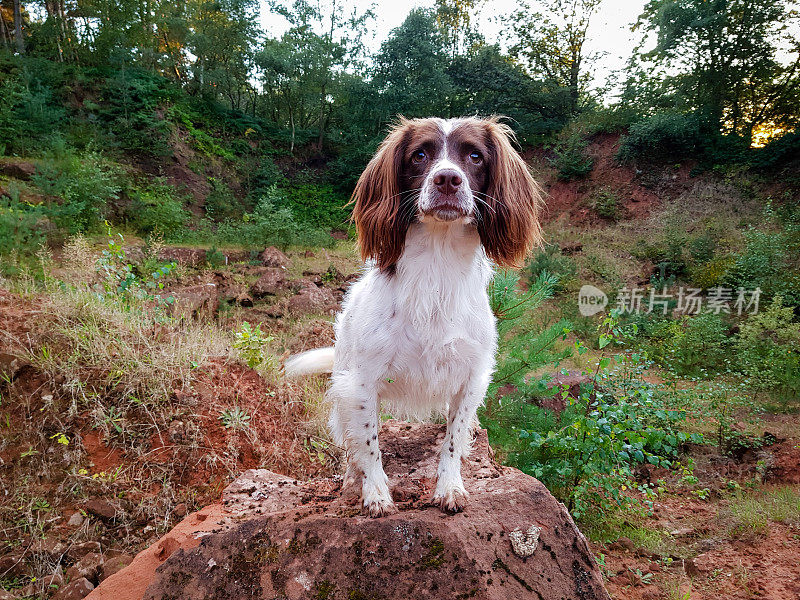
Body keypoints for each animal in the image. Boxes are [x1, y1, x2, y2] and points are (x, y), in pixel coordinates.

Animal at [284, 116, 540, 516]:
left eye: (475, 156)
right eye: (420, 155)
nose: (448, 179)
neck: (437, 265)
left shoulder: (472, 376)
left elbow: (453, 438)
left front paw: (450, 486)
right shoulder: (361, 382)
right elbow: (369, 445)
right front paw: (375, 493)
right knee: (349, 441)